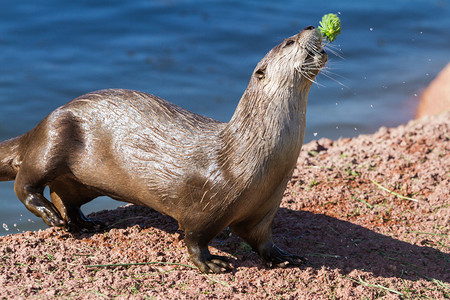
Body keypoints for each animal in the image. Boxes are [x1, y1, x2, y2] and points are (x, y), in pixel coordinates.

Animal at [1, 27, 328, 274]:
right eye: (289, 41)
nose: (312, 26)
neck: (246, 156)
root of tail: (44, 121)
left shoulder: (263, 210)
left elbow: (262, 240)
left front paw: (283, 256)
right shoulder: (203, 208)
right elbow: (194, 238)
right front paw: (210, 263)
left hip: (82, 180)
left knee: (65, 196)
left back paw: (83, 223)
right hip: (54, 139)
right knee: (26, 182)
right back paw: (50, 214)